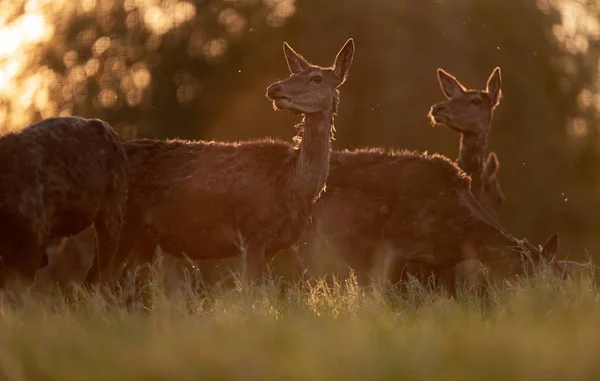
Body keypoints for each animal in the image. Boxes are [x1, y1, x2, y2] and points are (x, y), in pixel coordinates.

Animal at [88, 37, 354, 284]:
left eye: (317, 78)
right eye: (293, 73)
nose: (274, 89)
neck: (295, 184)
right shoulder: (251, 234)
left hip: (143, 239)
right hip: (121, 222)